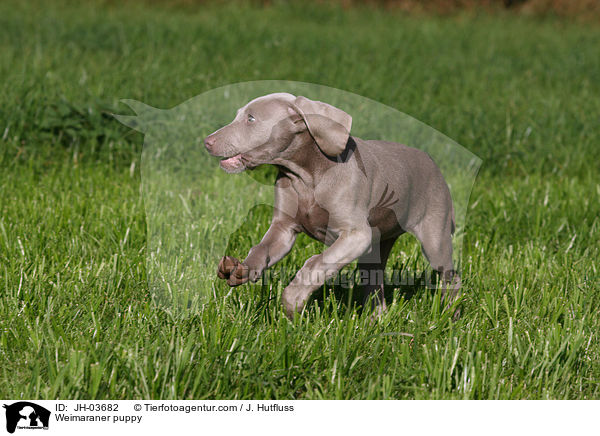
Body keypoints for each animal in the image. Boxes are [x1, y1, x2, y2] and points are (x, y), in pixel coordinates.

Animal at [203, 92, 460, 318]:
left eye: (251, 119)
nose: (206, 142)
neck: (306, 174)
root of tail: (431, 161)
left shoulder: (356, 235)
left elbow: (315, 263)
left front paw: (293, 301)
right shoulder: (284, 228)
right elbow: (261, 248)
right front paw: (242, 269)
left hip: (434, 237)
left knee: (451, 275)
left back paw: (450, 316)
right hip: (377, 245)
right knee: (374, 279)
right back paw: (375, 320)